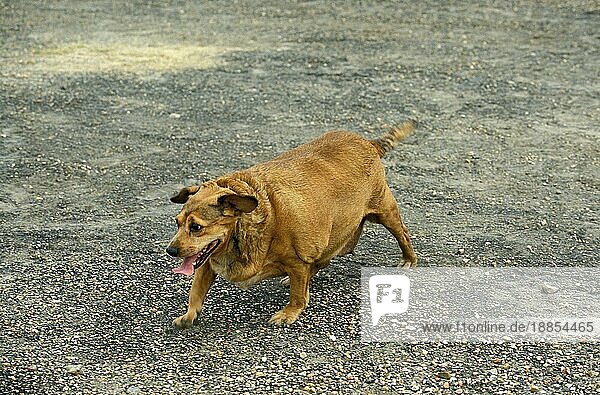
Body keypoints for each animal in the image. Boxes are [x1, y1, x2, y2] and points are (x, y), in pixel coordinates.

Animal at [164, 121, 418, 328]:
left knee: (403, 234)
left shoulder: (297, 260)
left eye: (196, 227)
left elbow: (297, 295)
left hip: (385, 212)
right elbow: (196, 291)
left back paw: (409, 259)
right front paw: (189, 315)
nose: (171, 251)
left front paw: (289, 312)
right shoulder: (206, 261)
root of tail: (369, 143)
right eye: (177, 223)